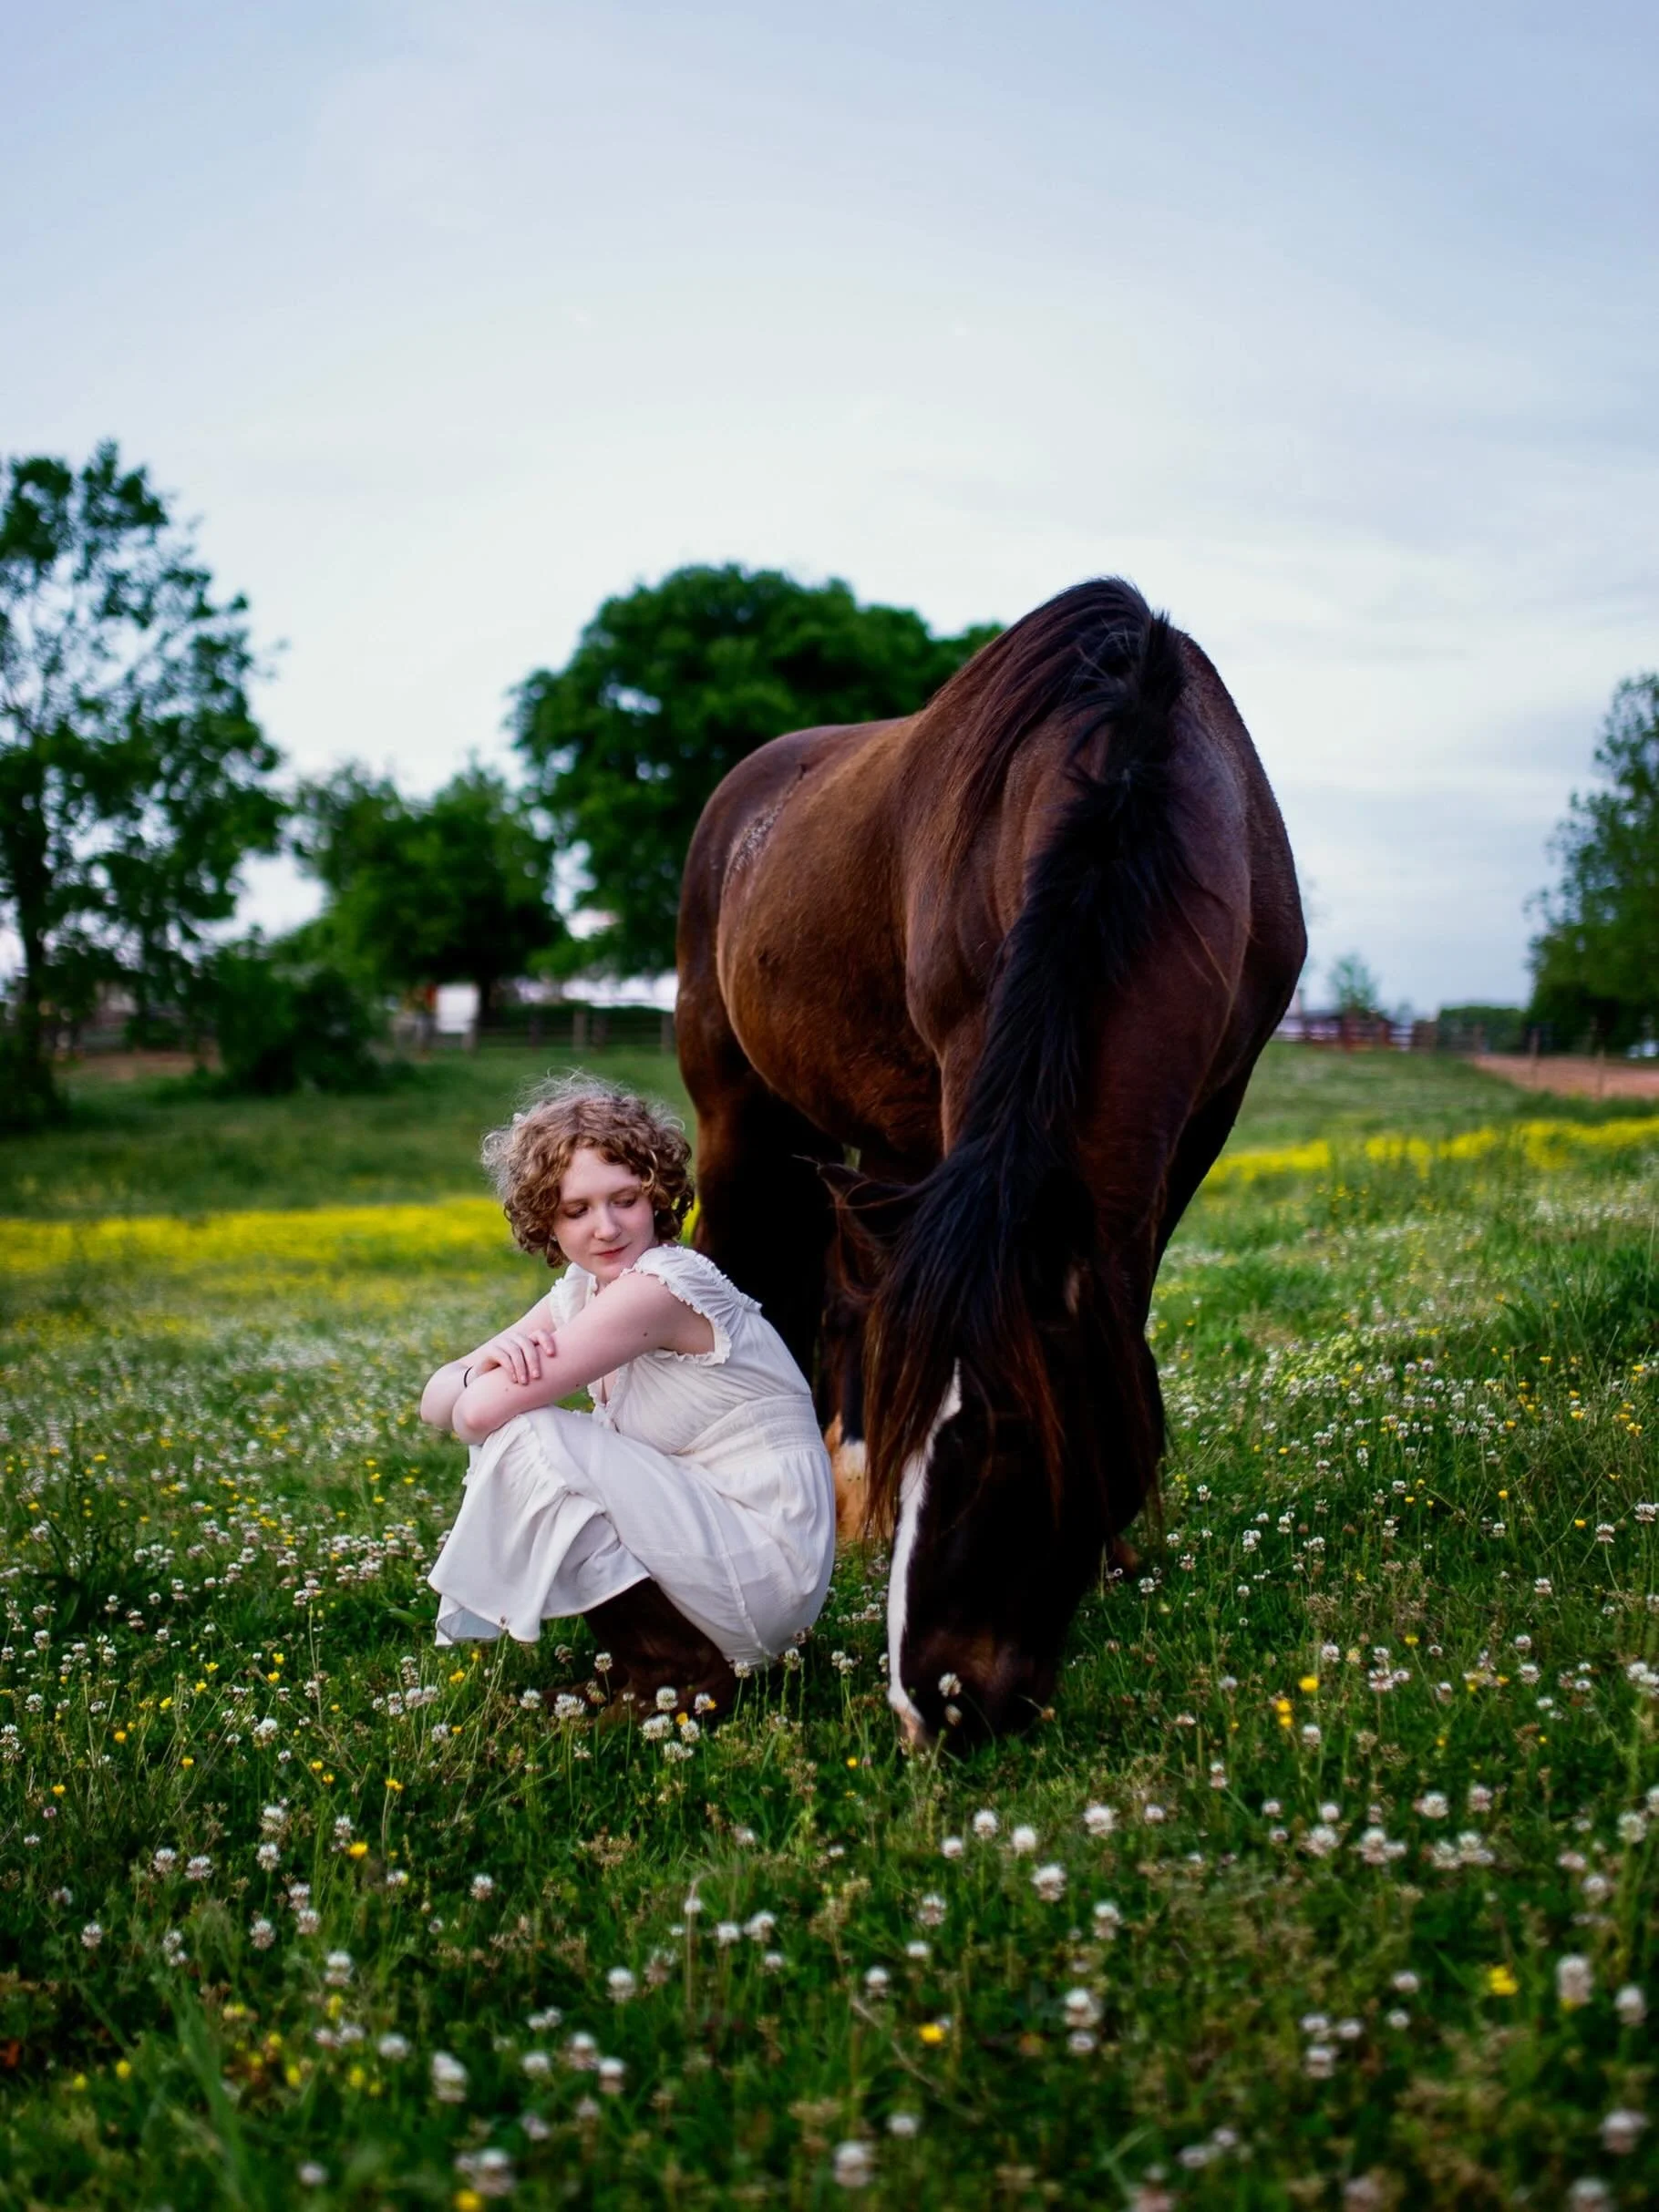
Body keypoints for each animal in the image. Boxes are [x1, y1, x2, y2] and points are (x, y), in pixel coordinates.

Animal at [674, 578, 1305, 1747]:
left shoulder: (1208, 1112)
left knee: (844, 1289)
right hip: (742, 1118)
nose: (935, 1702)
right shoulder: (973, 1062)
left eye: (1013, 1438)